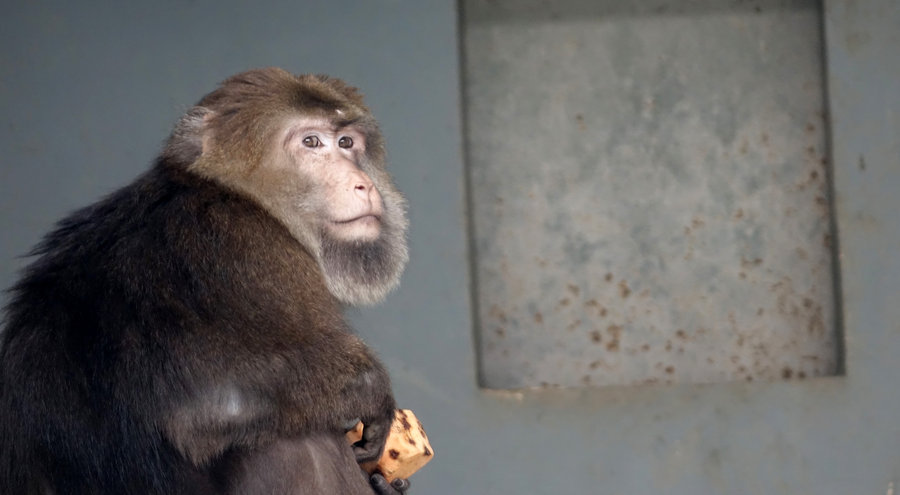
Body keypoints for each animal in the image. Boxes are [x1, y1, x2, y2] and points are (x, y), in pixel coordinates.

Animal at [0, 68, 414, 494]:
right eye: (311, 142)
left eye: (347, 143)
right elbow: (205, 408)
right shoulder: (254, 252)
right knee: (296, 442)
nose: (362, 183)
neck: (242, 197)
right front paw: (369, 385)